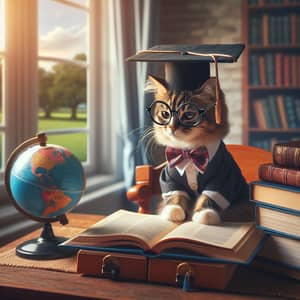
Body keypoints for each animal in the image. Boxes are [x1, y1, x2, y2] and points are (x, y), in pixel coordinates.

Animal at [145, 74, 251, 225]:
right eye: (165, 114)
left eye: (189, 115)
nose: (171, 127)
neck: (188, 151)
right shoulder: (170, 179)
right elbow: (176, 196)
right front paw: (174, 211)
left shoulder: (222, 178)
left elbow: (208, 197)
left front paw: (204, 214)